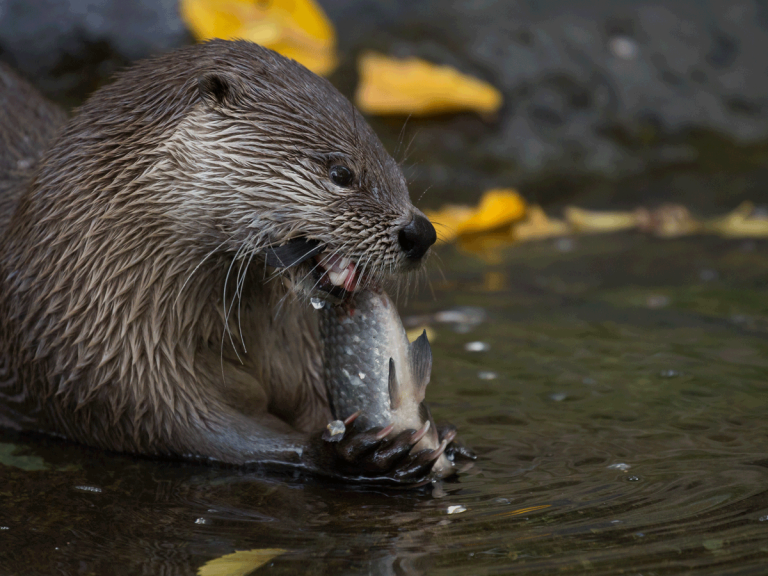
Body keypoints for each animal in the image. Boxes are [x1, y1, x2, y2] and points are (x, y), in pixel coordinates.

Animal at [0, 38, 468, 484]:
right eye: (341, 174)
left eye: (397, 170)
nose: (420, 234)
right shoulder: (101, 367)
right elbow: (188, 429)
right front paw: (349, 453)